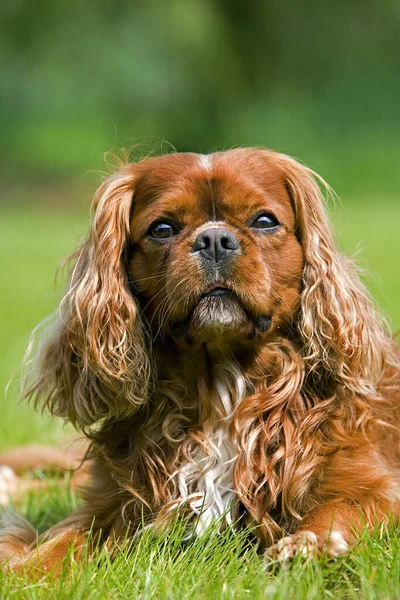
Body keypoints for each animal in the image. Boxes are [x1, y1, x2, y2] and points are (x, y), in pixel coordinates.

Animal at [0, 146, 400, 572]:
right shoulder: (109, 505)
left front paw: (308, 546)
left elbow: (337, 512)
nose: (214, 239)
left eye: (264, 221)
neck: (221, 385)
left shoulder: (375, 487)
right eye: (162, 229)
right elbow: (61, 541)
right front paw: (23, 571)